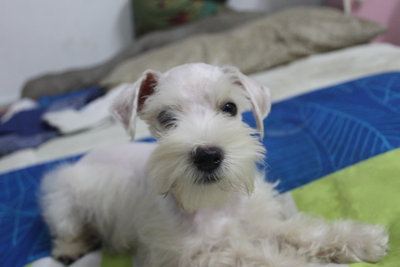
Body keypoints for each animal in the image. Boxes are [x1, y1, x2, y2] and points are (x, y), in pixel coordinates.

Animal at [40, 63, 388, 266]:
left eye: (230, 107)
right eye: (166, 117)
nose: (208, 155)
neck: (213, 204)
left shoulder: (259, 221)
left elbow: (301, 229)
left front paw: (362, 238)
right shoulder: (192, 253)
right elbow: (254, 255)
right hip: (62, 194)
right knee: (68, 228)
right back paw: (72, 247)